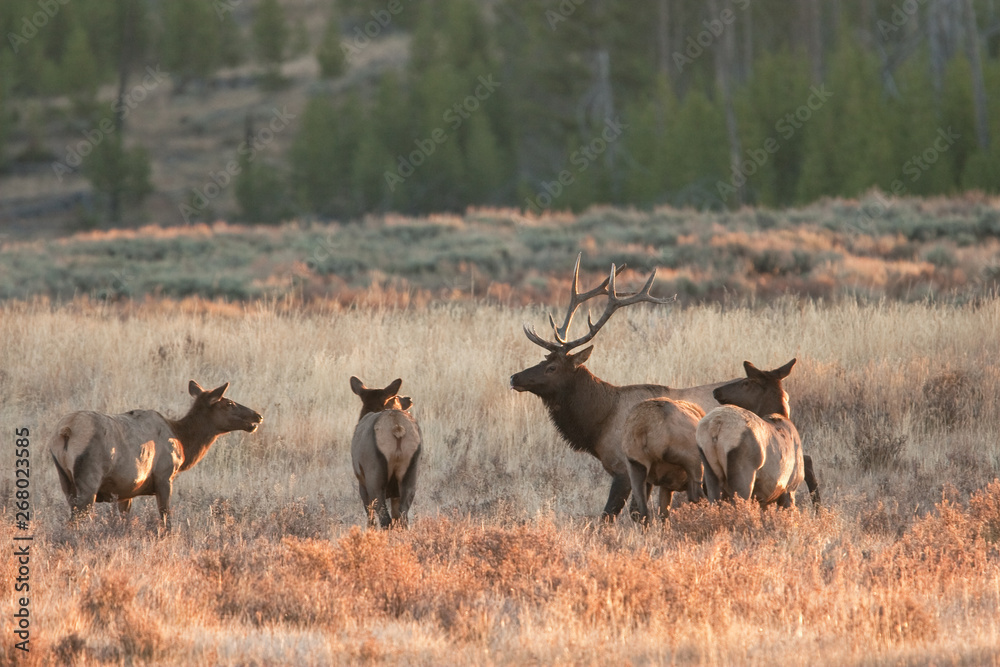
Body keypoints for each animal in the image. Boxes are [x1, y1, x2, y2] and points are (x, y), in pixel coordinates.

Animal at [48, 380, 262, 530]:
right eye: (229, 403)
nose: (257, 416)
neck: (183, 443)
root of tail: (65, 432)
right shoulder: (164, 476)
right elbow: (166, 519)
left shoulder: (125, 491)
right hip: (88, 479)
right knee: (75, 521)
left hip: (65, 481)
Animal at [349, 376, 421, 529]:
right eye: (396, 398)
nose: (408, 398)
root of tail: (397, 428)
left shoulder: (362, 483)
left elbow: (370, 517)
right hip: (411, 472)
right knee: (403, 516)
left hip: (374, 474)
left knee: (384, 519)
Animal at [509, 254, 740, 520]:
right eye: (543, 360)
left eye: (552, 368)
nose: (514, 377)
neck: (599, 423)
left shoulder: (623, 469)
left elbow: (611, 514)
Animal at [697, 359, 807, 507]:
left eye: (746, 382)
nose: (716, 391)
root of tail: (716, 426)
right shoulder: (790, 489)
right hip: (742, 474)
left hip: (710, 473)